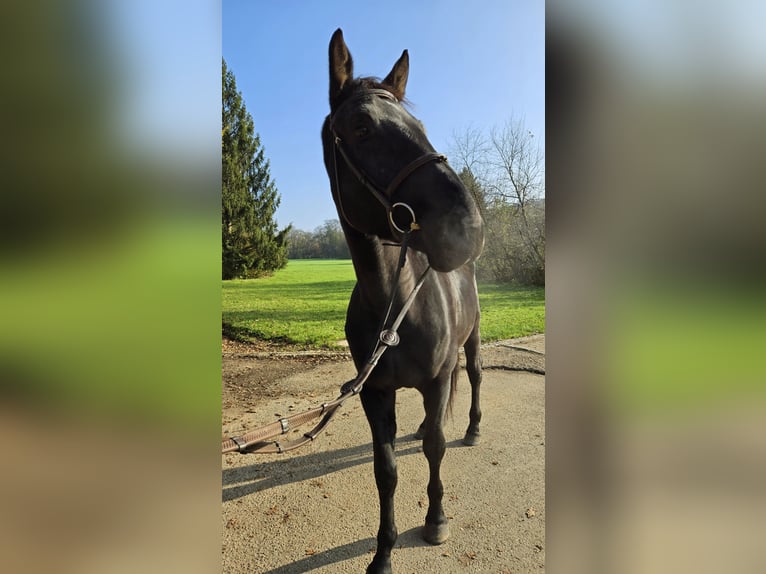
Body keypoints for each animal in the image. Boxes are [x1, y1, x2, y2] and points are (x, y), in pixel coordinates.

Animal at [322, 30, 486, 574]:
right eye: (360, 126)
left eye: (420, 127)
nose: (466, 227)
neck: (393, 310)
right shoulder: (373, 393)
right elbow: (386, 470)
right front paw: (383, 553)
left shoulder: (436, 379)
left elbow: (437, 447)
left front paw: (436, 521)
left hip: (471, 343)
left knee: (473, 378)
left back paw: (473, 428)